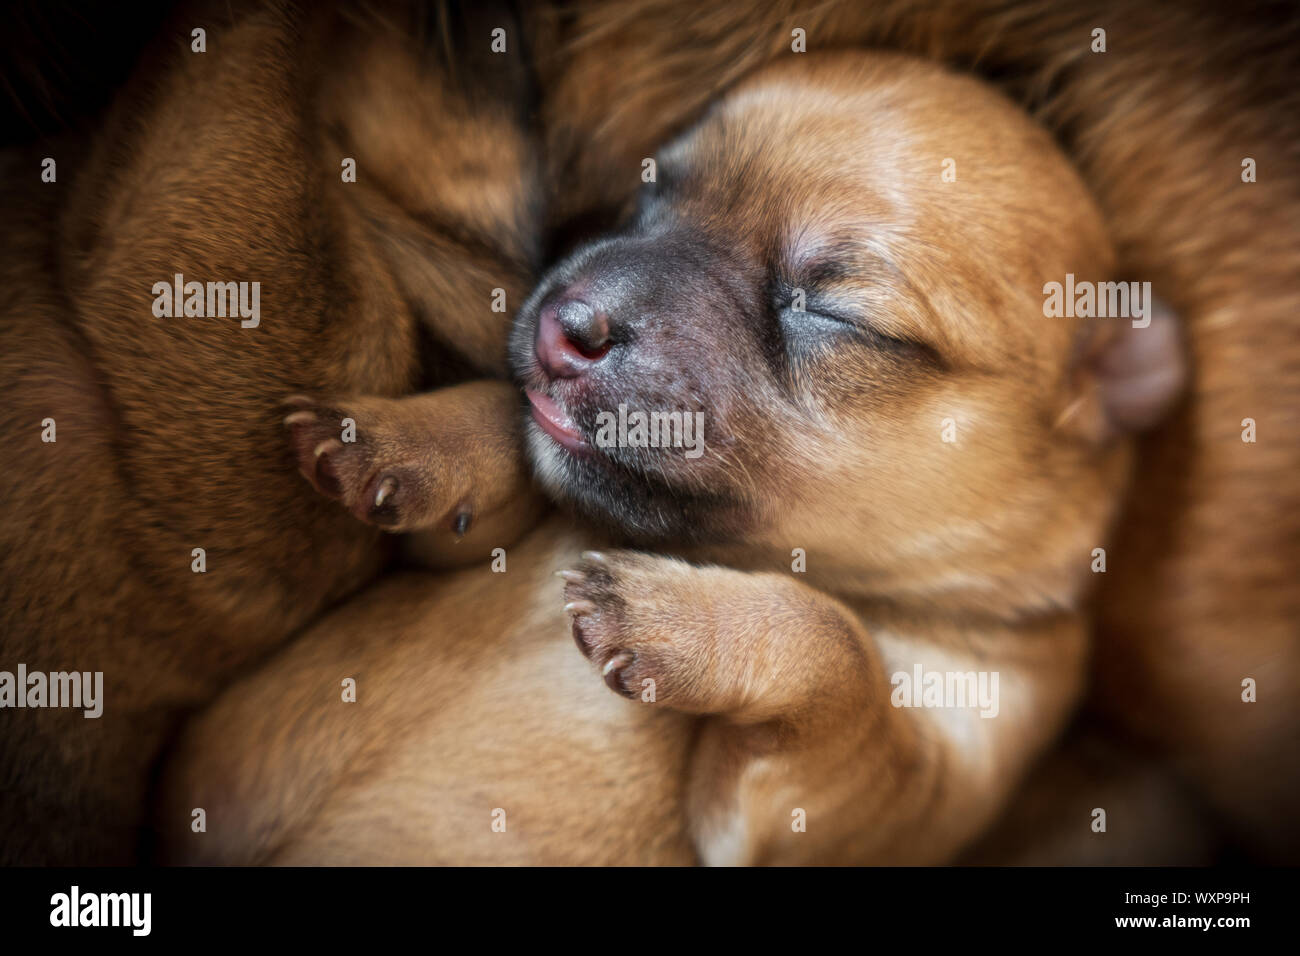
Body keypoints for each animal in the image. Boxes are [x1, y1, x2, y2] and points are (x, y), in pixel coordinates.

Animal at [157, 52, 1185, 868]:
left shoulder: (858, 803)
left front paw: (671, 619)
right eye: (651, 193)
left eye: (835, 312)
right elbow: (509, 440)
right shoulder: (456, 544)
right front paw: (401, 438)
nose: (564, 322)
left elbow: (836, 645)